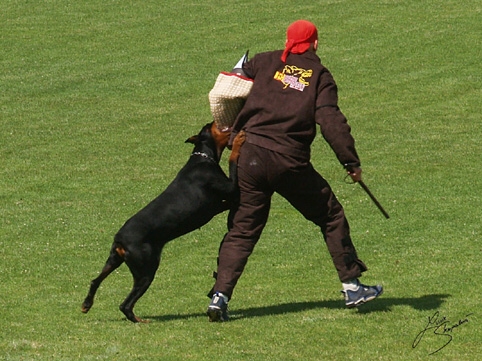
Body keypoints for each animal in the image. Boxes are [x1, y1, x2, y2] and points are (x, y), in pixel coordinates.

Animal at [82, 122, 245, 322]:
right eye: (209, 126)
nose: (213, 121)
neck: (204, 157)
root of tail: (120, 239)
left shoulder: (221, 203)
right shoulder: (230, 190)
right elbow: (233, 160)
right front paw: (239, 140)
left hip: (114, 260)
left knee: (95, 280)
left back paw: (86, 305)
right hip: (146, 271)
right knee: (125, 304)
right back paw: (140, 320)